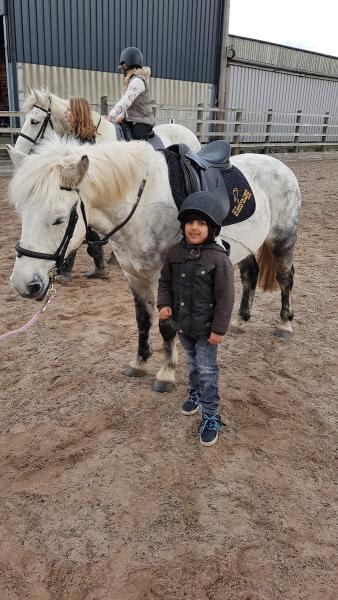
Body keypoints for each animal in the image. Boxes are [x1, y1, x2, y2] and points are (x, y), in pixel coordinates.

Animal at [9, 135, 302, 390]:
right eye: (21, 213)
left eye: (58, 219)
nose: (24, 284)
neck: (143, 204)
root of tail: (278, 165)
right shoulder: (135, 276)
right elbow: (143, 319)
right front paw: (140, 363)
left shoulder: (166, 276)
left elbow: (166, 324)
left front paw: (166, 372)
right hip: (249, 245)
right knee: (250, 275)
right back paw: (240, 321)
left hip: (282, 241)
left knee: (285, 279)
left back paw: (284, 324)